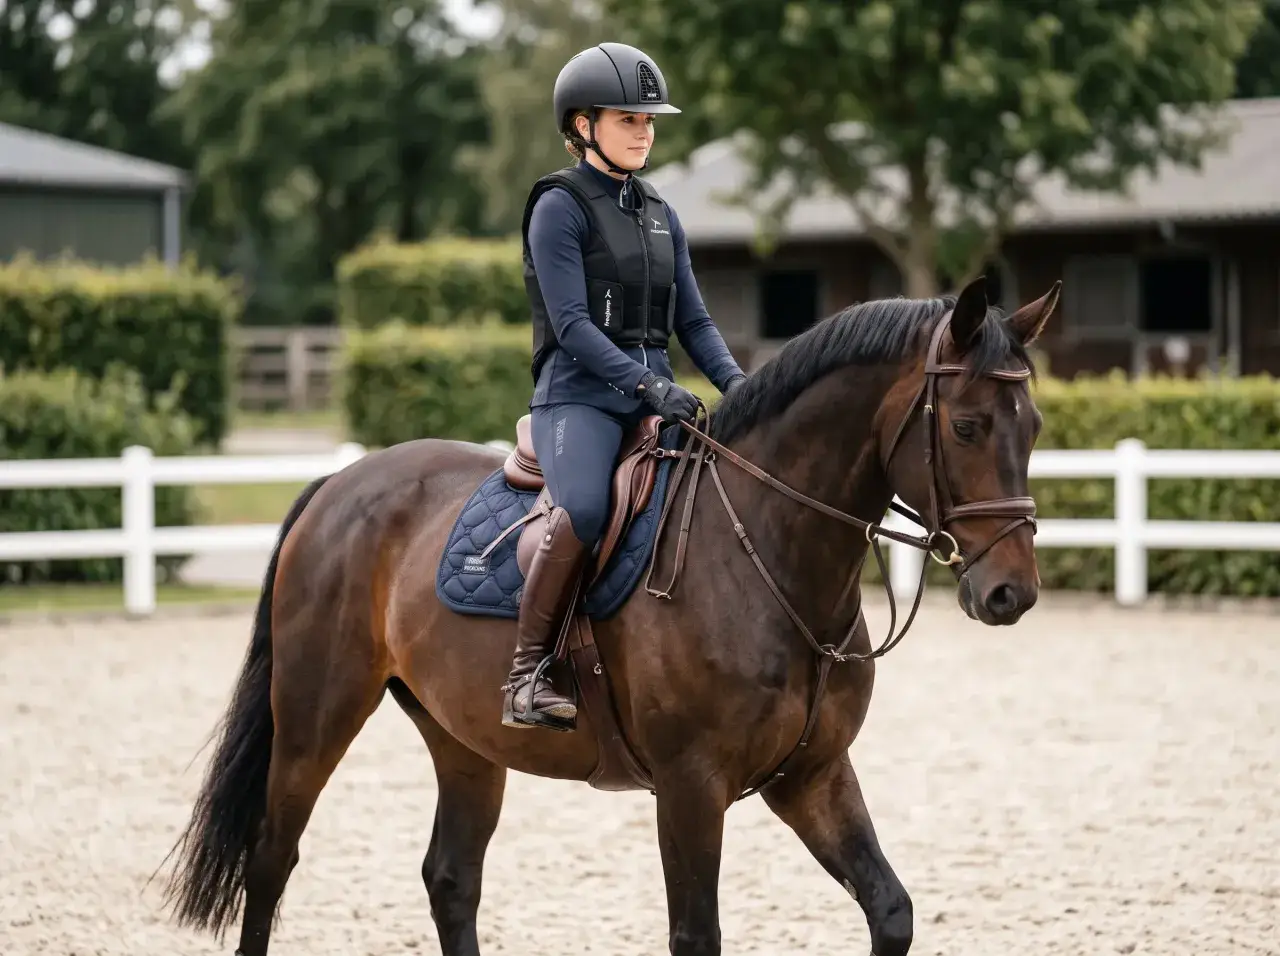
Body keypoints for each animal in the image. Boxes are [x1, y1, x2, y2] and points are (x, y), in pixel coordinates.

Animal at [161, 274, 1060, 956]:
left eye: (1036, 425)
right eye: (968, 425)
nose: (1011, 594)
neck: (766, 549)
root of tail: (339, 485)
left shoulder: (812, 774)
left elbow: (890, 911)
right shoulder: (691, 788)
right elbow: (696, 937)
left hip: (463, 740)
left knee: (451, 879)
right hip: (317, 715)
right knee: (271, 860)